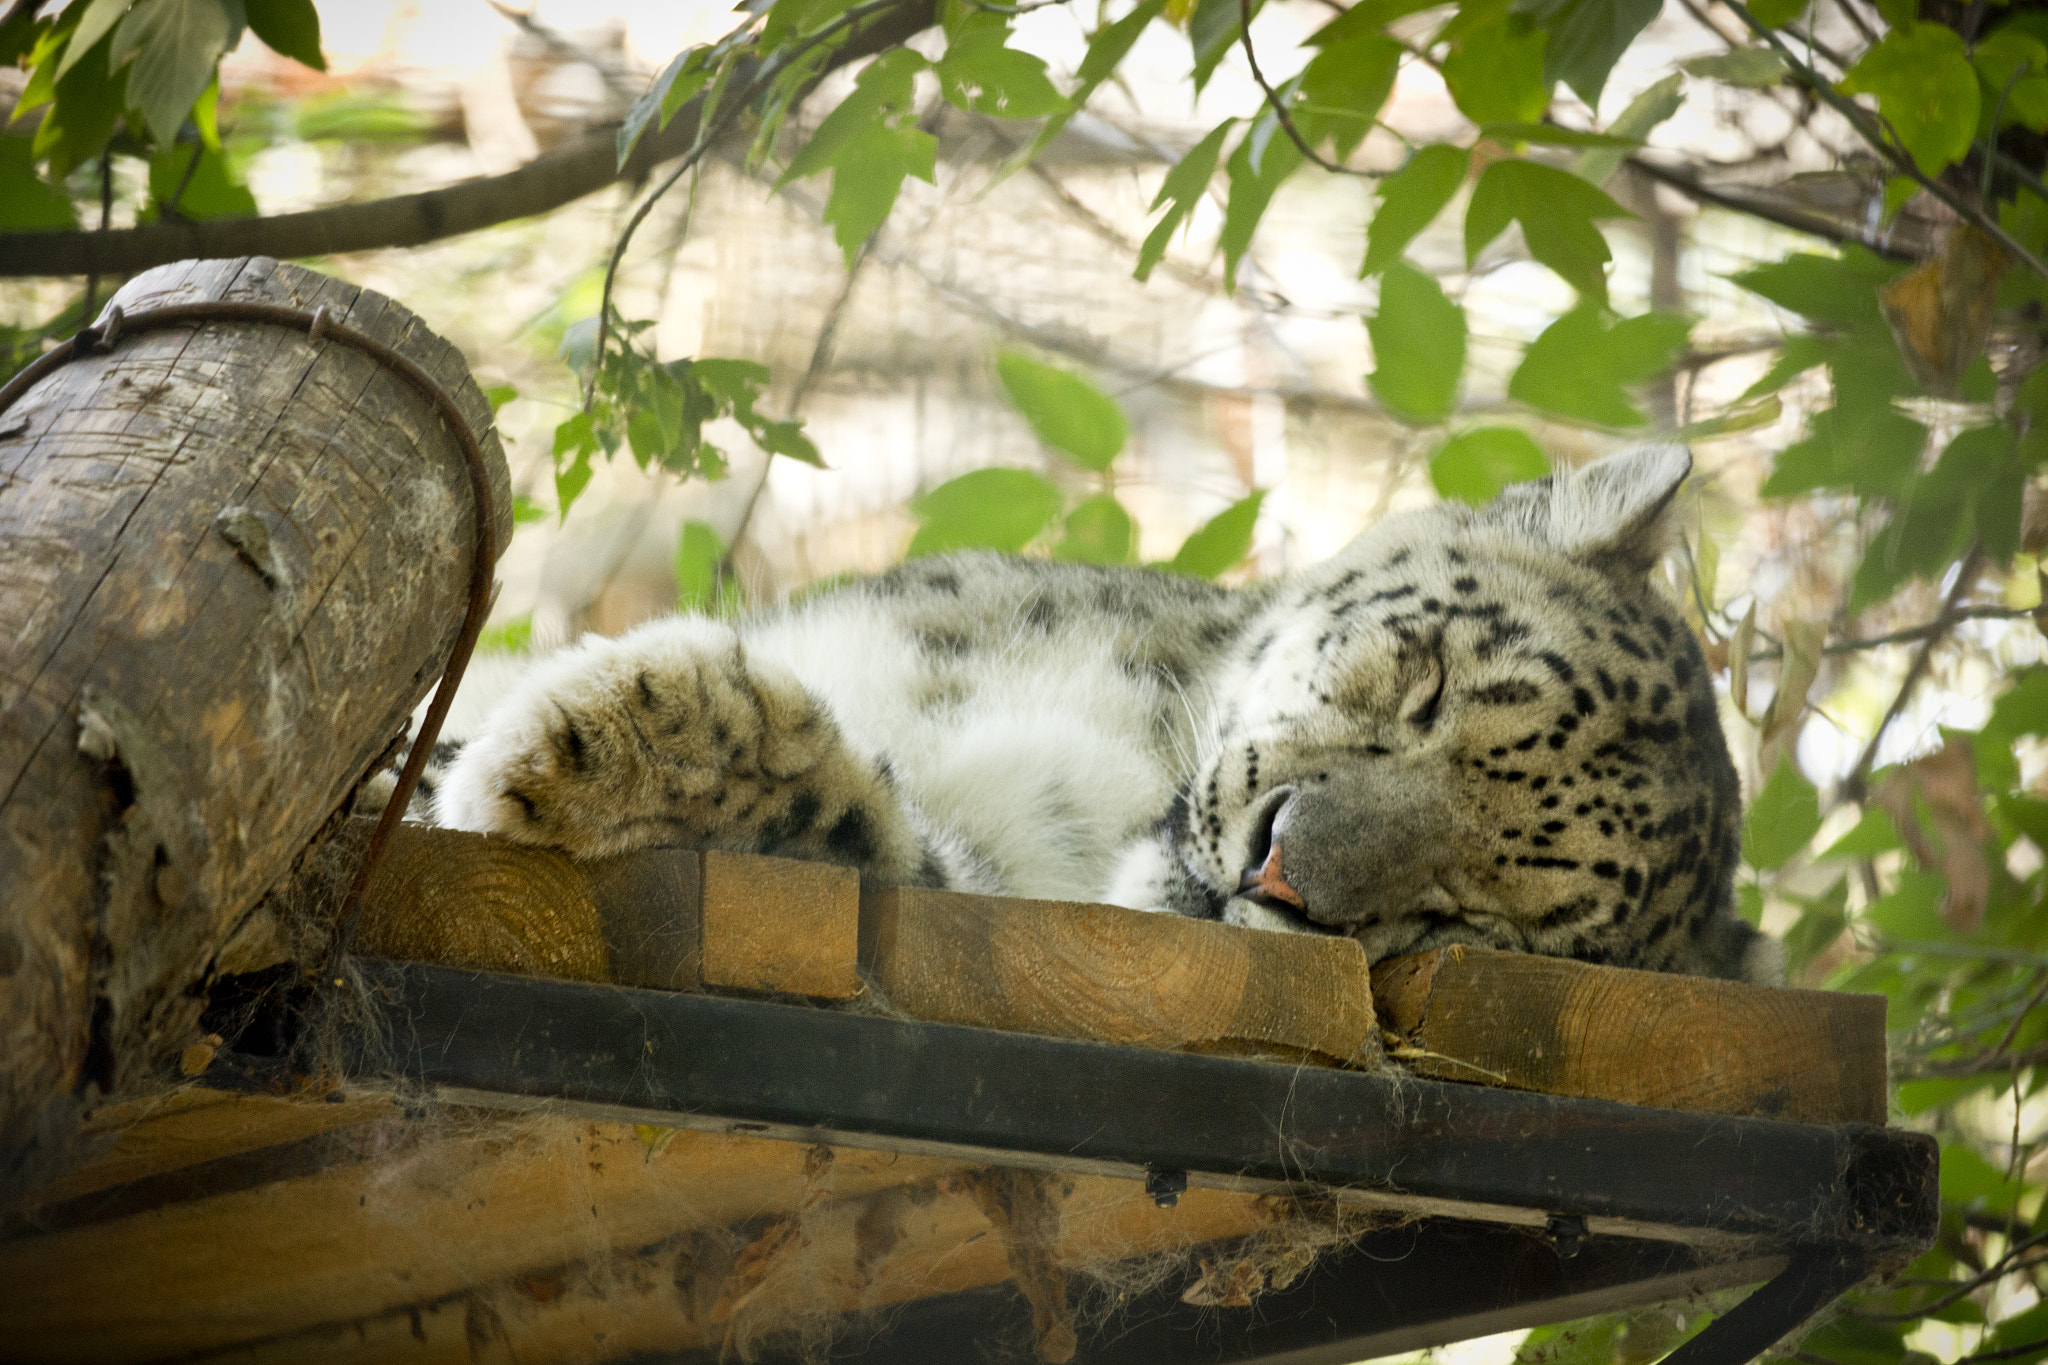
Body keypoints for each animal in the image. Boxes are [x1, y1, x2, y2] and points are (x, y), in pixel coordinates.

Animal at [432, 442, 1776, 983]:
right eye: (1423, 684)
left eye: (1473, 918)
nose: (1277, 869)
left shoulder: (965, 895)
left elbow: (878, 836)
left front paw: (599, 741)